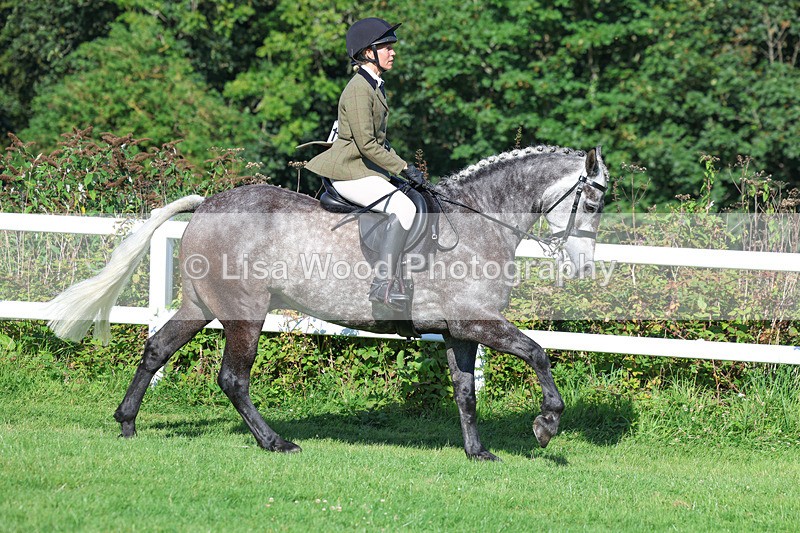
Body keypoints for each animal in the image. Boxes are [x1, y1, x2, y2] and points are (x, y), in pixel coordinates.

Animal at [47, 144, 608, 461]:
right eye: (593, 198)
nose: (582, 266)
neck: (477, 222)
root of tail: (206, 205)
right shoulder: (479, 323)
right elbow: (538, 353)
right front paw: (546, 426)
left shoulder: (461, 331)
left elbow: (466, 393)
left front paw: (478, 452)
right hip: (245, 313)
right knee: (233, 379)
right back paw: (275, 443)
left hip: (200, 305)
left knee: (157, 349)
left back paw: (126, 423)